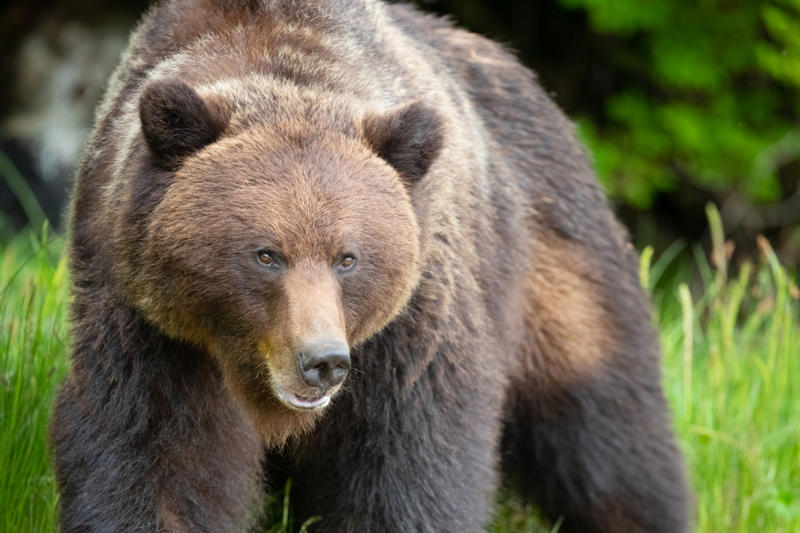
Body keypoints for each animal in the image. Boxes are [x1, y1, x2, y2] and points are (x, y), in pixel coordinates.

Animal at [51, 0, 691, 531]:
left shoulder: (411, 327)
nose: (323, 362)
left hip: (556, 259)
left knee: (608, 437)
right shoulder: (153, 327)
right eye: (266, 254)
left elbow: (406, 466)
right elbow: (156, 455)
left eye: (348, 258)